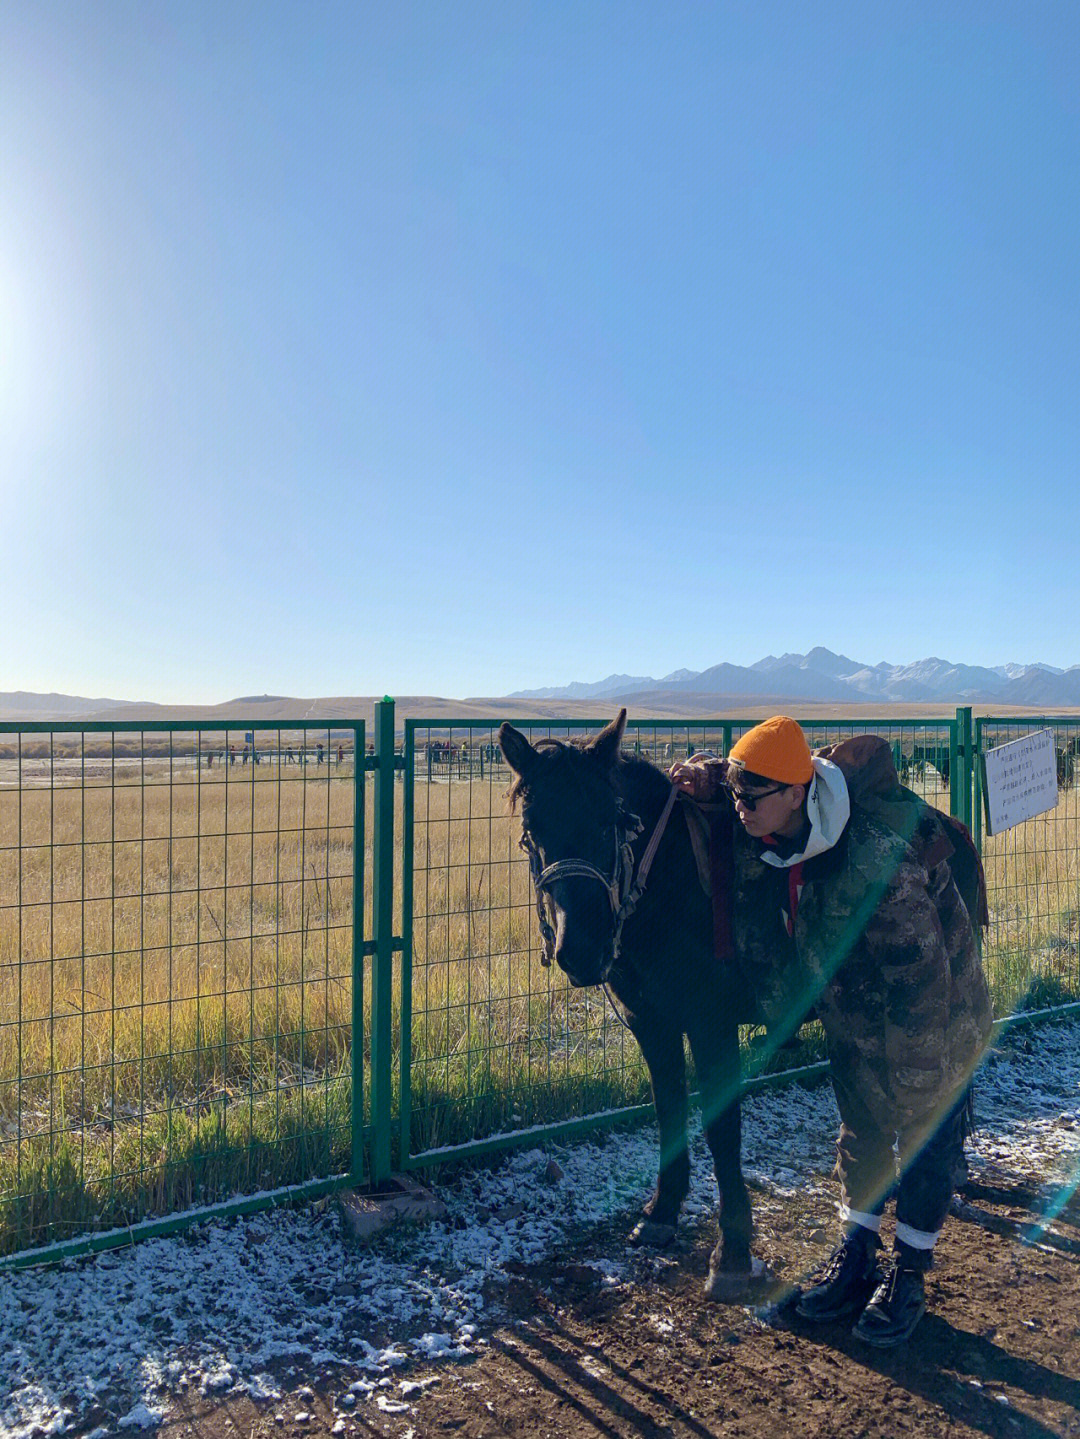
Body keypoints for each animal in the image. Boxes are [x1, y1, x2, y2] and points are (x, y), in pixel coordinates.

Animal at [500, 702, 759, 1300]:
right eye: (532, 831)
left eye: (608, 821)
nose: (580, 950)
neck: (672, 885)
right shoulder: (653, 1023)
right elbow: (668, 1108)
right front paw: (662, 1213)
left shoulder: (711, 1025)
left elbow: (723, 1128)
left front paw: (733, 1251)